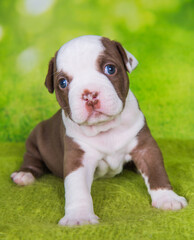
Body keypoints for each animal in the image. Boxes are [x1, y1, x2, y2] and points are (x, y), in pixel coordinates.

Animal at [10, 35, 186, 225]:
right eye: (62, 83)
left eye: (110, 68)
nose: (89, 94)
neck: (105, 128)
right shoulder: (78, 158)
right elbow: (77, 188)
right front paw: (79, 216)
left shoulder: (144, 146)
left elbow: (156, 170)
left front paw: (167, 198)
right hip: (35, 138)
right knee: (32, 158)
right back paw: (24, 175)